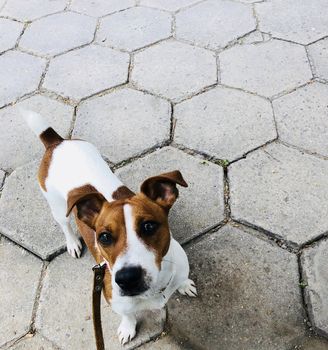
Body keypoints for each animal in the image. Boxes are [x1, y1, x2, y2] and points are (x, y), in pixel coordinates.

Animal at [23, 110, 199, 344]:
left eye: (149, 226)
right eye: (104, 237)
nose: (127, 278)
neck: (155, 290)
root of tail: (56, 142)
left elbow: (182, 280)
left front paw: (184, 285)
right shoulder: (114, 301)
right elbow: (128, 315)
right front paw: (127, 328)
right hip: (58, 207)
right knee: (65, 225)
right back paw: (72, 243)